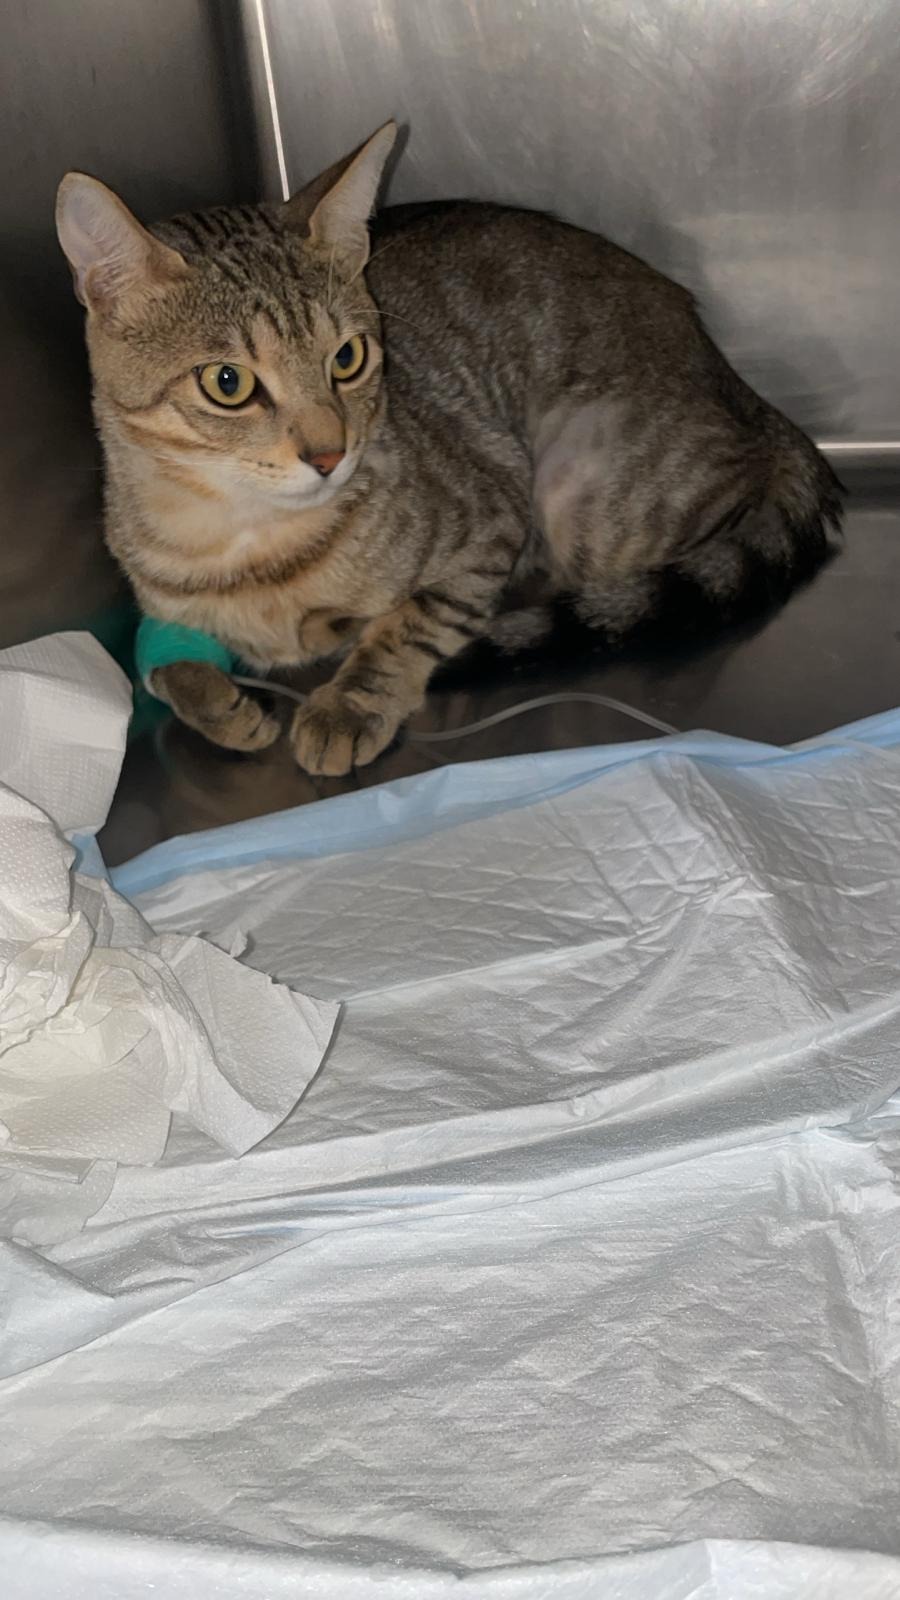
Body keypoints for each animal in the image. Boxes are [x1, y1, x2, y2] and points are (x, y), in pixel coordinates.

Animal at [56, 122, 841, 776]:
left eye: (348, 358)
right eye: (229, 383)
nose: (330, 455)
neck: (245, 541)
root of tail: (736, 382)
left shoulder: (491, 518)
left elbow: (410, 623)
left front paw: (350, 703)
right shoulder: (168, 609)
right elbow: (166, 664)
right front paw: (220, 703)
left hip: (581, 484)